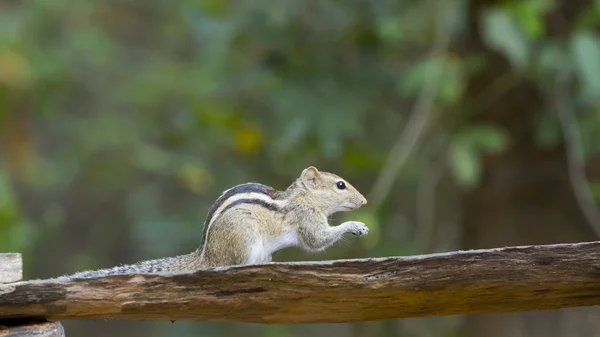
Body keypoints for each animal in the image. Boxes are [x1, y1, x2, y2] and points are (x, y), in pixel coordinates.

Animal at [68, 166, 368, 278]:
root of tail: (206, 256)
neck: (303, 196)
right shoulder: (306, 218)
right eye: (340, 185)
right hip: (244, 239)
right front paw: (356, 226)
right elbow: (317, 240)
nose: (364, 201)